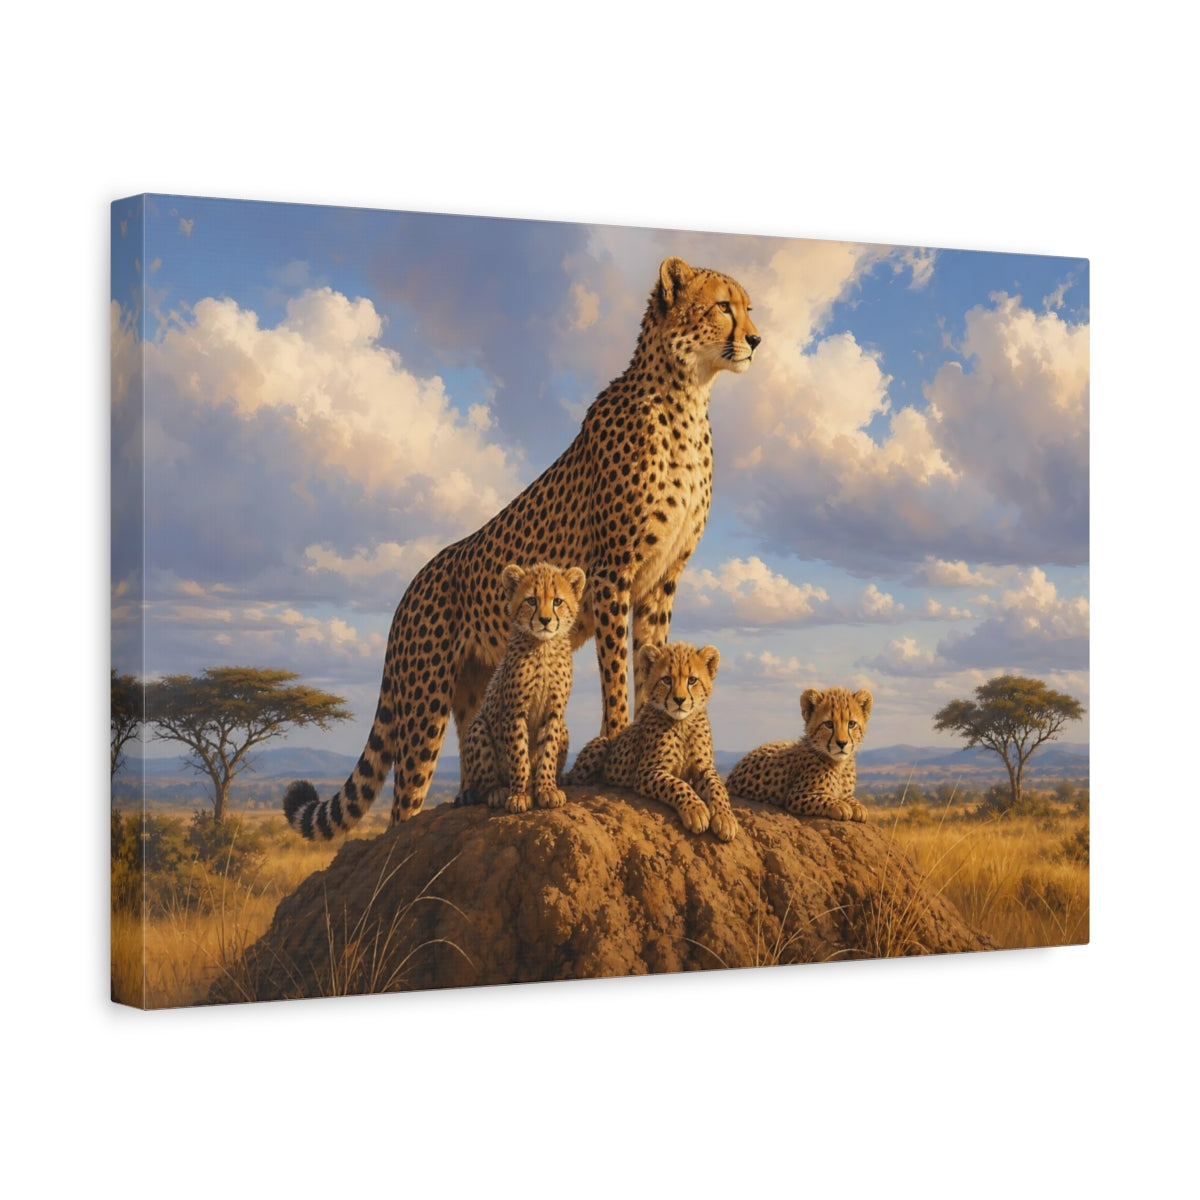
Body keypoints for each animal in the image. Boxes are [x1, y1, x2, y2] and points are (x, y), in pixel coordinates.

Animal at [452, 562, 585, 814]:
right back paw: (498, 791)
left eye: (557, 601)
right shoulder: (514, 711)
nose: (545, 620)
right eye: (531, 600)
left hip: (563, 727)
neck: (543, 646)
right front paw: (520, 795)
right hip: (478, 727)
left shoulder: (554, 712)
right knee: (484, 785)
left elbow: (548, 752)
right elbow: (519, 755)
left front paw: (546, 789)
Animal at [564, 641, 738, 842]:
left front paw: (725, 818)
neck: (682, 723)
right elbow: (678, 785)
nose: (679, 700)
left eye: (692, 680)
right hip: (601, 744)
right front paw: (697, 810)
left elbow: (718, 787)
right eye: (667, 680)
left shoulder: (704, 769)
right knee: (576, 778)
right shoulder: (647, 771)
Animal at [725, 686, 873, 822]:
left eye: (852, 724)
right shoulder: (796, 796)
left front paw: (858, 806)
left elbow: (849, 797)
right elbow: (823, 798)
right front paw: (840, 805)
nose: (842, 743)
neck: (839, 764)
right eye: (829, 724)